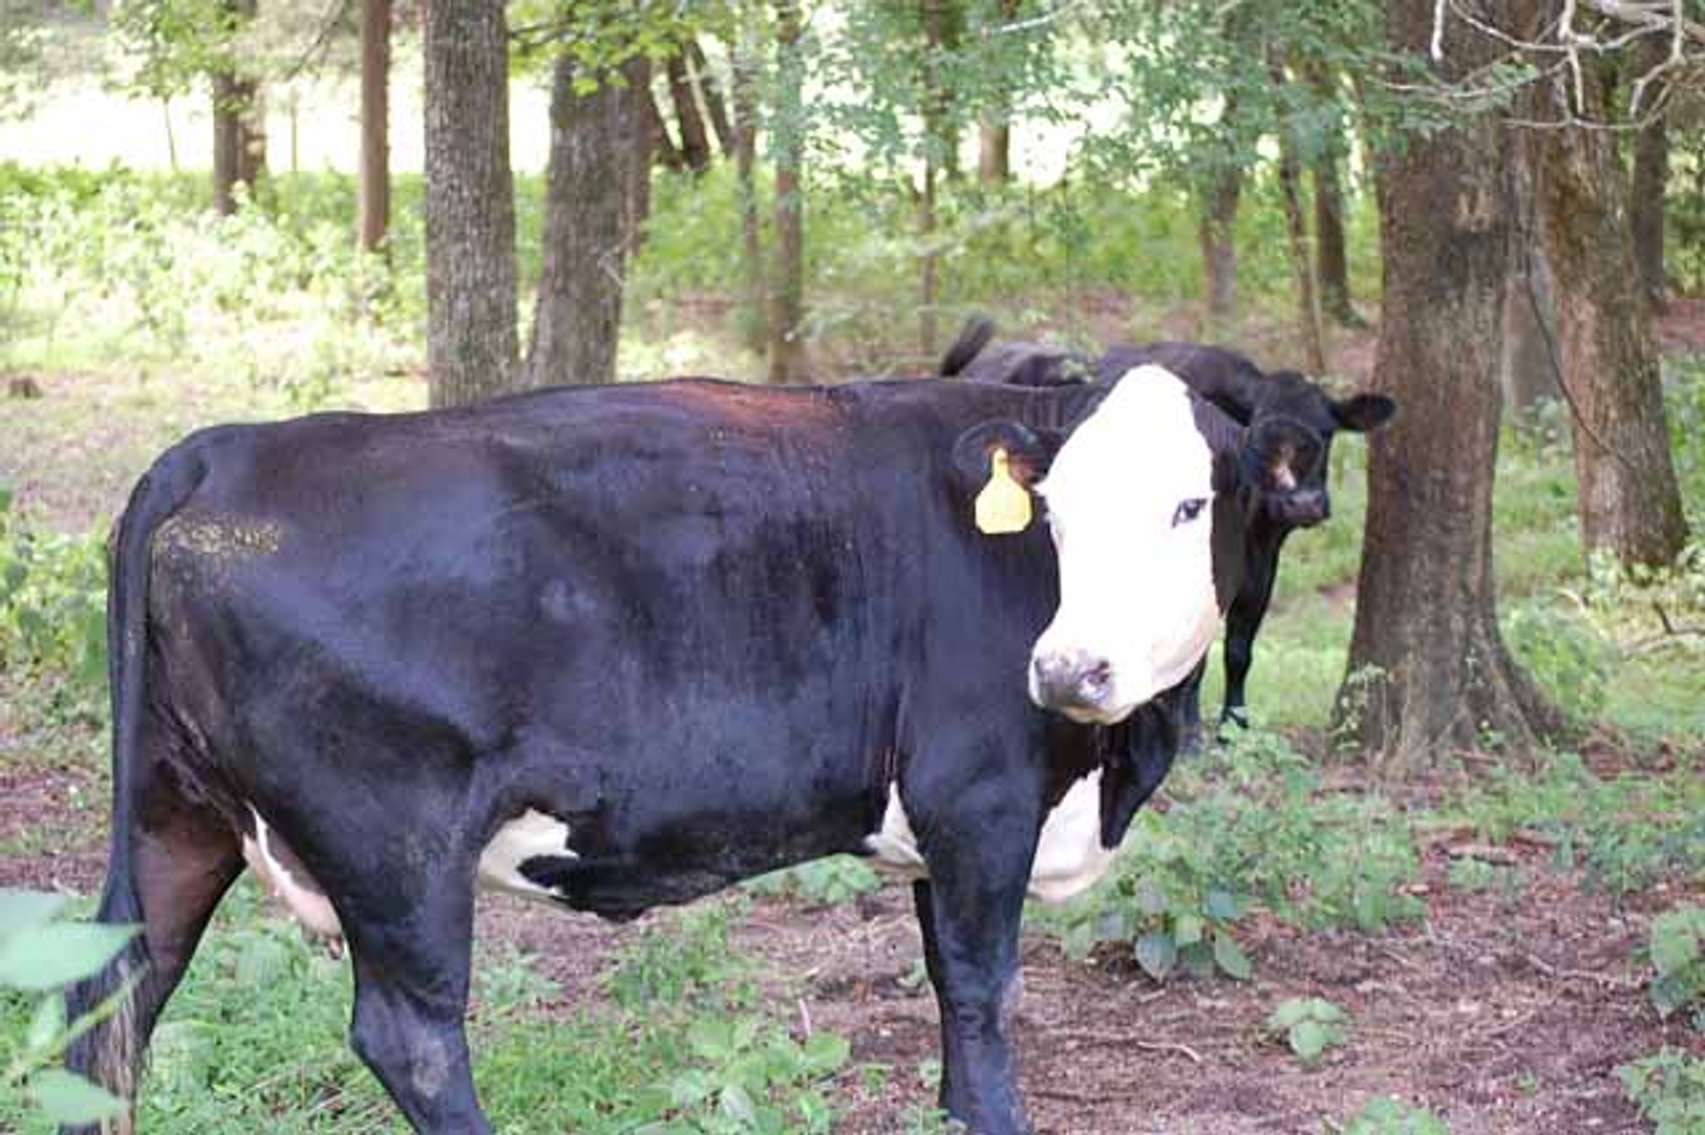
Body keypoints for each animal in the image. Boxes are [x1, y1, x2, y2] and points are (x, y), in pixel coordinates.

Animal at [67, 370, 1255, 1135]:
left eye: (1190, 502)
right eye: (1054, 506)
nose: (1068, 668)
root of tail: (229, 446)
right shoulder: (980, 800)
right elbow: (980, 995)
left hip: (176, 812)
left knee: (111, 997)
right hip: (393, 842)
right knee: (412, 1037)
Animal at [940, 318, 1396, 729]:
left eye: (1326, 433)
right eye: (1260, 420)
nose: (1301, 503)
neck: (1249, 530)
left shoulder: (1262, 566)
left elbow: (1239, 647)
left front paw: (1235, 722)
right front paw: (1192, 732)